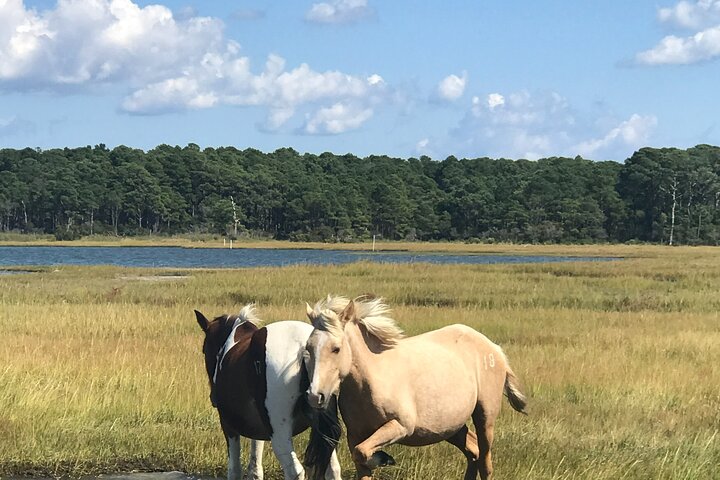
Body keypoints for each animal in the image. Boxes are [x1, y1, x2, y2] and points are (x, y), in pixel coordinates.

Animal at [194, 305, 342, 480]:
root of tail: (306, 350)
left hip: (279, 432)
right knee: (333, 469)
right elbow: (255, 467)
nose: (213, 398)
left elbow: (234, 469)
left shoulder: (228, 424)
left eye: (204, 349)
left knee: (295, 471)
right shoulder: (259, 426)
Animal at [302, 296, 527, 480]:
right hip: (451, 427)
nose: (315, 396)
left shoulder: (401, 426)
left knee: (485, 463)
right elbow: (360, 456)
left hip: (484, 417)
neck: (372, 379)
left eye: (336, 349)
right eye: (308, 348)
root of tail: (494, 348)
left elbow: (362, 452)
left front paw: (384, 458)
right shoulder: (355, 436)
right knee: (473, 452)